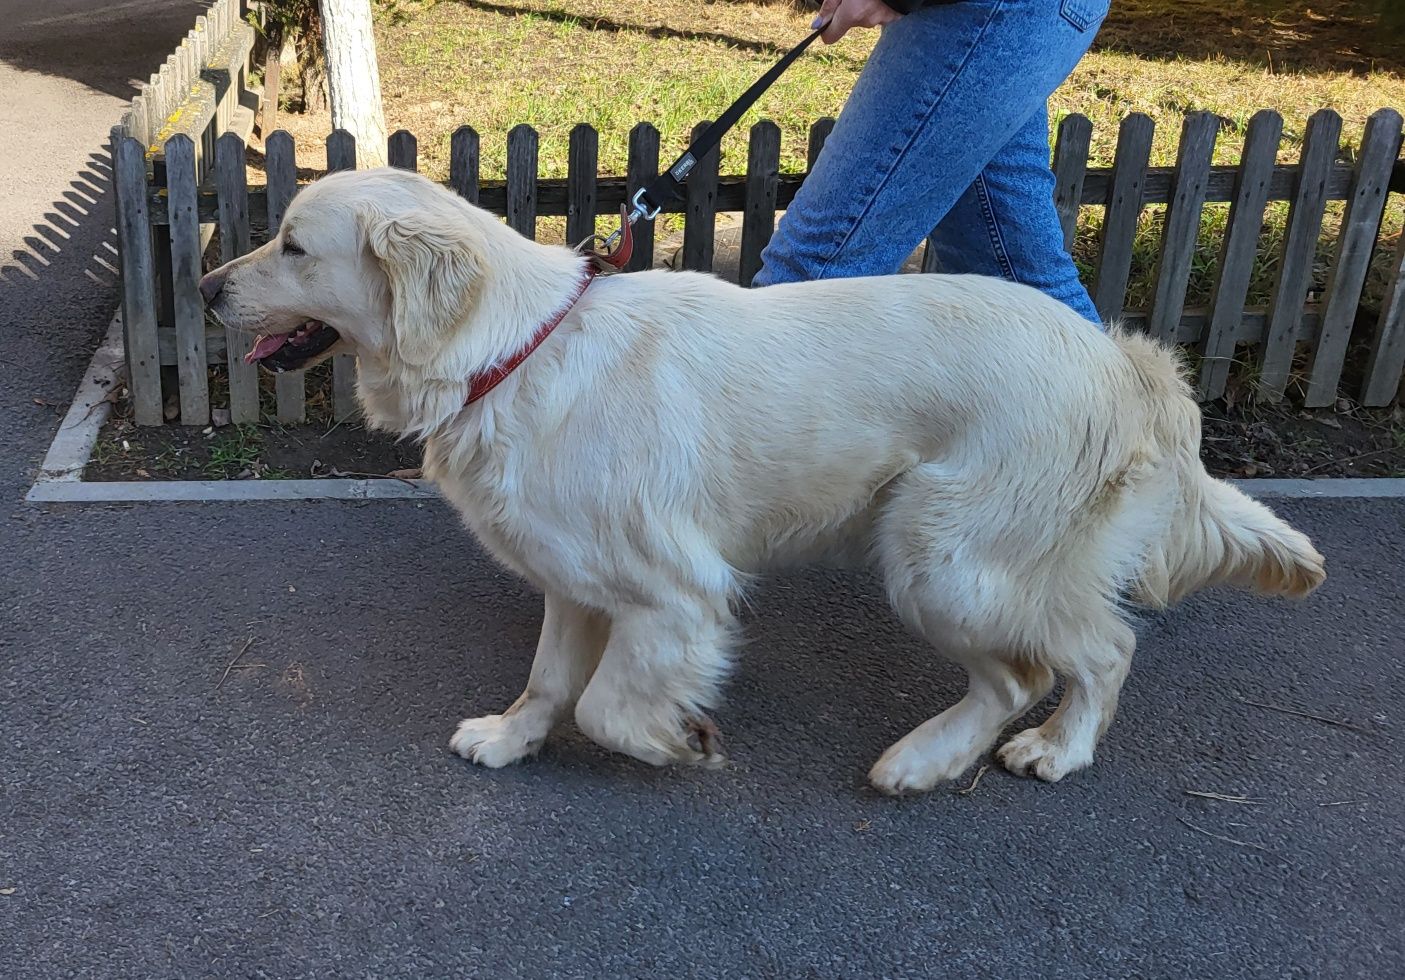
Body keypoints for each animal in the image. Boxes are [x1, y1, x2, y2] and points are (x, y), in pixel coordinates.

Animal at [200, 167, 1326, 791]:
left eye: (291, 245)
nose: (204, 286)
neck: (510, 350)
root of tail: (1124, 362)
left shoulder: (678, 593)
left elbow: (607, 706)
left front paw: (679, 742)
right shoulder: (575, 579)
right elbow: (551, 680)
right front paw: (510, 738)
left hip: (941, 556)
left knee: (1078, 655)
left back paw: (1014, 751)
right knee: (1036, 664)